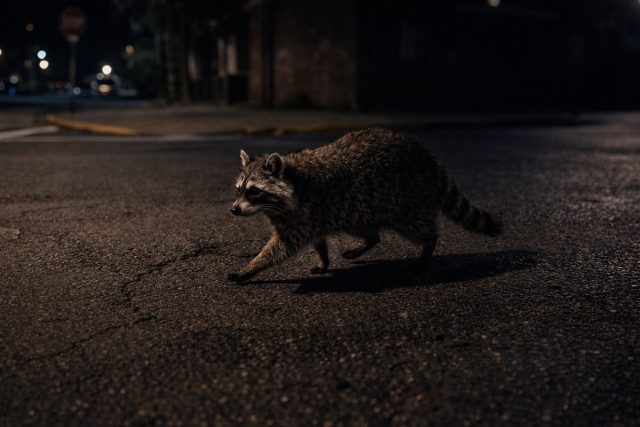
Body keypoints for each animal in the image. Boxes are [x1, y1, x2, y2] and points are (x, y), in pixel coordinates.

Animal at [228, 127, 501, 283]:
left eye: (255, 191)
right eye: (239, 189)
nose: (234, 210)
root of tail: (428, 158)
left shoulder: (303, 214)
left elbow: (281, 247)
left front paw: (250, 268)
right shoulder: (311, 216)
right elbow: (318, 241)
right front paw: (324, 260)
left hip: (407, 200)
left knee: (419, 228)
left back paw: (427, 247)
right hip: (357, 208)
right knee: (367, 230)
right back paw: (367, 242)